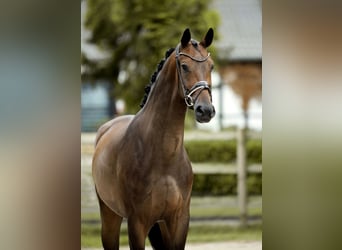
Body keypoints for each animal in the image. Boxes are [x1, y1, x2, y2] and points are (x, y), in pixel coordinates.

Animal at [92, 28, 215, 249]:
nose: (205, 111)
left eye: (211, 66)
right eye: (184, 66)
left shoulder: (179, 221)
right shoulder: (137, 223)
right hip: (110, 215)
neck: (163, 155)